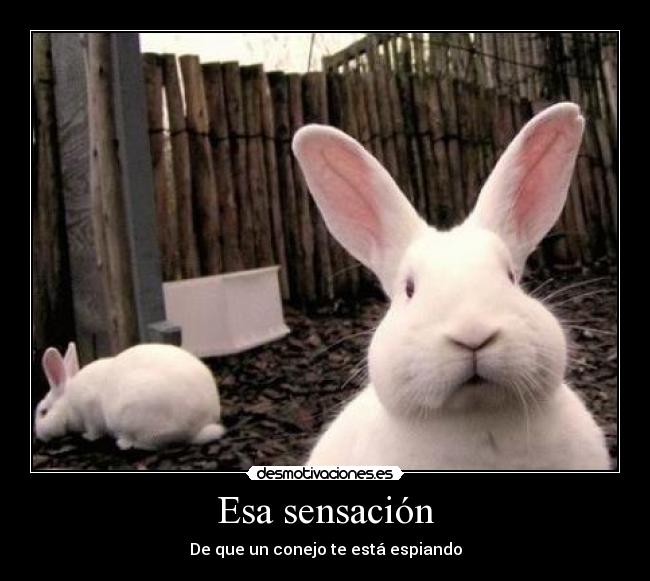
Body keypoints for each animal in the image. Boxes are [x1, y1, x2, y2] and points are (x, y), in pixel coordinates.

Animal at [34, 342, 225, 450]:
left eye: (43, 412)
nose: (39, 435)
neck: (68, 403)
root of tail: (201, 424)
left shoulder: (89, 410)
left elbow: (94, 430)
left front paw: (87, 437)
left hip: (136, 418)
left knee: (151, 444)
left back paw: (124, 443)